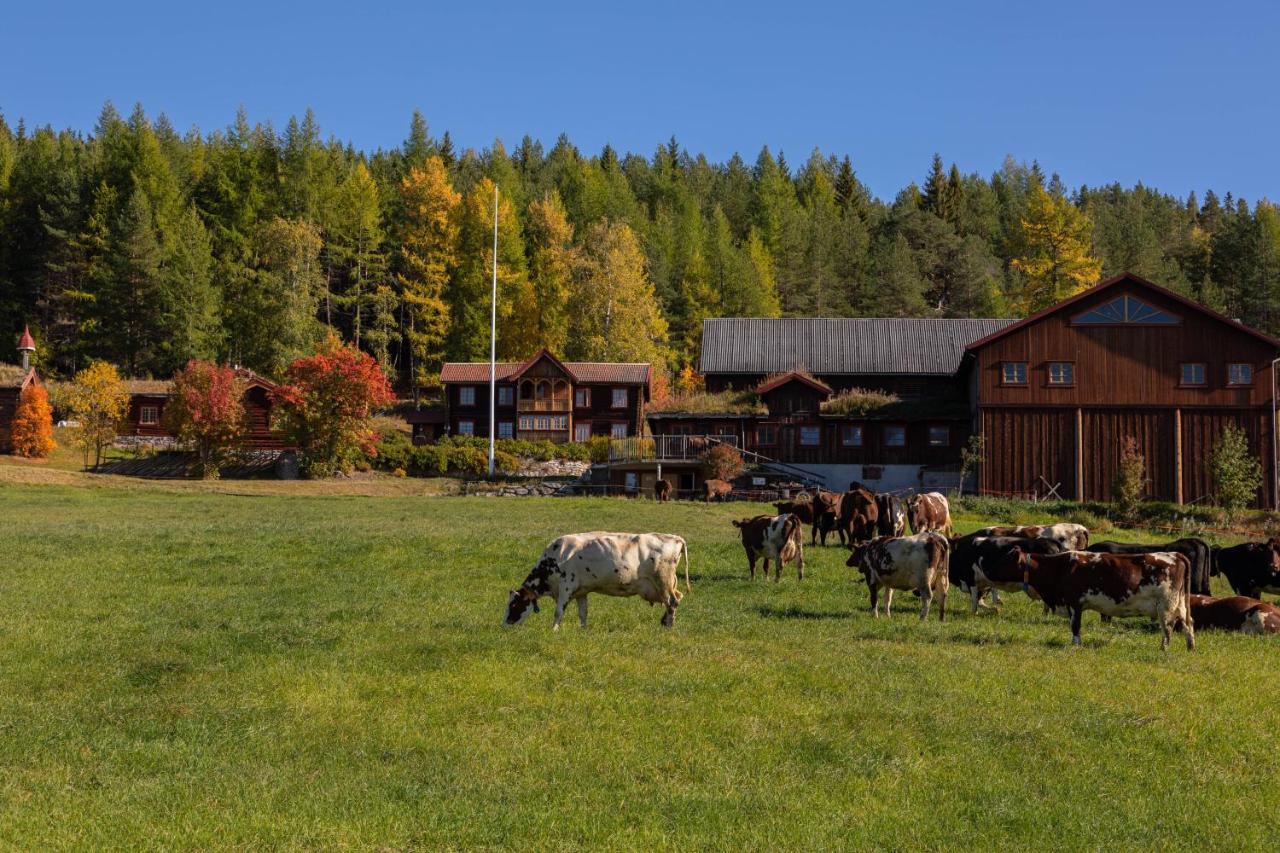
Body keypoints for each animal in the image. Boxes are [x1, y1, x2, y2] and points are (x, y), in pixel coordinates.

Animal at [499, 527, 691, 627]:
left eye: (514, 605)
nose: (504, 625)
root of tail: (675, 538)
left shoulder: (566, 585)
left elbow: (558, 611)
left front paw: (554, 630)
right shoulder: (581, 591)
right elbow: (583, 613)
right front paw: (583, 631)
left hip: (663, 581)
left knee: (672, 602)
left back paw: (669, 626)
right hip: (669, 583)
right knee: (678, 597)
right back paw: (665, 621)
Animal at [1013, 548, 1192, 648]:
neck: (1062, 567)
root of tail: (1175, 554)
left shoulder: (1074, 603)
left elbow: (1075, 626)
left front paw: (1075, 646)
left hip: (1166, 605)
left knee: (1168, 628)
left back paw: (1164, 649)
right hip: (1180, 603)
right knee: (1188, 623)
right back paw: (1190, 648)